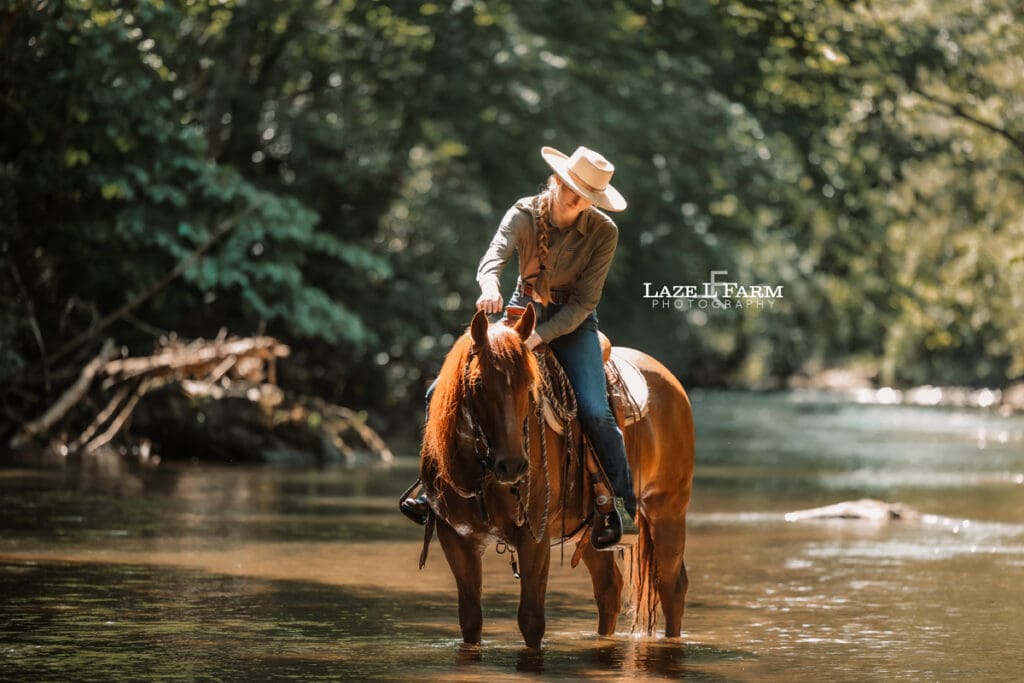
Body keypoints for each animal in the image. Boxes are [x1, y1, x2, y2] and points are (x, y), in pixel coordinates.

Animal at [418, 304, 695, 648]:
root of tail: (670, 380)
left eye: (529, 383)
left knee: (671, 586)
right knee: (609, 588)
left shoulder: (534, 537)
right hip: (592, 534)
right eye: (479, 383)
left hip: (667, 510)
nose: (512, 465)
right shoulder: (455, 537)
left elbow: (531, 620)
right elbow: (470, 621)